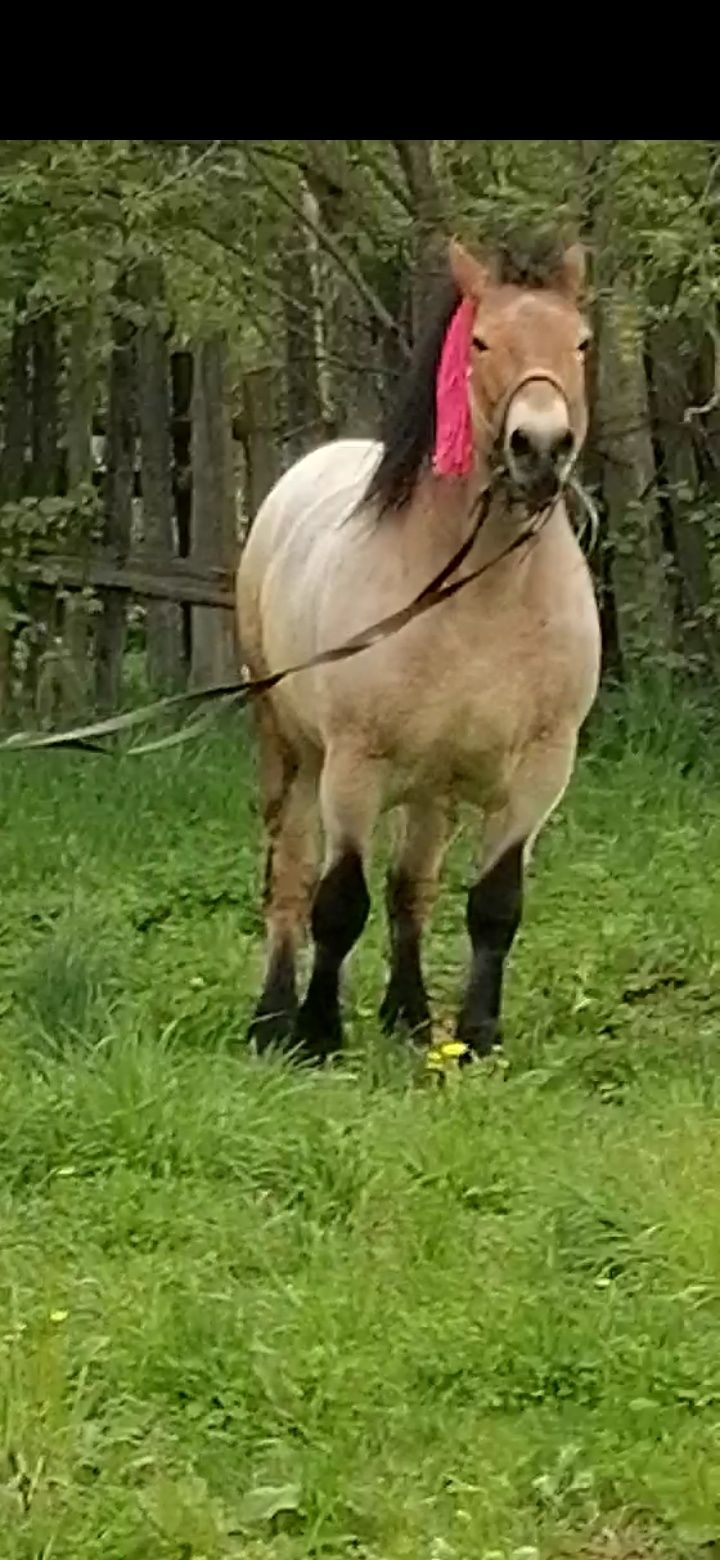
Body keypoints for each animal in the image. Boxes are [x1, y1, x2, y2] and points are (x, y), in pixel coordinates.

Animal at [236, 233, 601, 1060]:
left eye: (581, 342)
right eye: (481, 341)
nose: (541, 448)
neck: (480, 593)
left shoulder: (540, 773)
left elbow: (494, 905)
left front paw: (477, 1036)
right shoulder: (352, 767)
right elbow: (338, 903)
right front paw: (317, 1034)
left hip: (434, 789)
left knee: (413, 888)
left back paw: (408, 1015)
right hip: (290, 755)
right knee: (290, 882)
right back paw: (272, 1019)